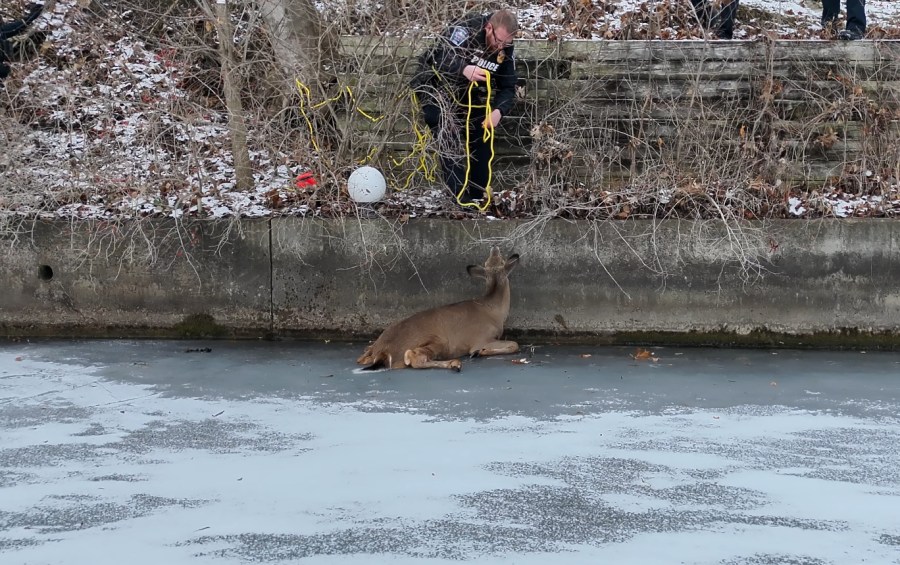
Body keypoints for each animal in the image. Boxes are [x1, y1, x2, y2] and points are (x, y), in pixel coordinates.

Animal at [356, 247, 520, 371]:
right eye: (502, 260)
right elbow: (514, 345)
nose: (494, 247)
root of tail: (383, 351)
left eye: (494, 260)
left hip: (372, 349)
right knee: (414, 357)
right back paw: (455, 364)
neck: (494, 310)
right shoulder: (482, 338)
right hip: (439, 341)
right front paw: (478, 353)